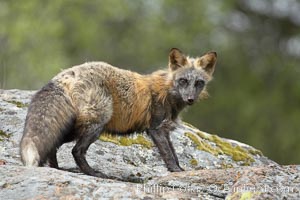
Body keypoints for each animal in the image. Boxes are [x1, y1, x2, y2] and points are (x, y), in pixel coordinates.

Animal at [19, 48, 217, 178]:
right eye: (183, 81)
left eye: (198, 83)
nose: (190, 99)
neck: (168, 91)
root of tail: (68, 73)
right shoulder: (156, 129)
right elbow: (168, 154)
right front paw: (176, 171)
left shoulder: (165, 130)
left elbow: (173, 152)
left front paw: (180, 170)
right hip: (95, 125)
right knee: (76, 151)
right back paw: (92, 173)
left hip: (75, 126)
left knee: (53, 144)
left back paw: (56, 169)